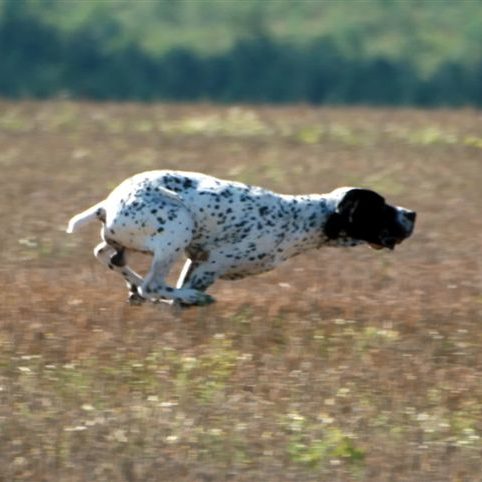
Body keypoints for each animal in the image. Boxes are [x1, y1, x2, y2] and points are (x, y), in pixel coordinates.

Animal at [66, 169, 416, 306]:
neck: (302, 218)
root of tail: (107, 204)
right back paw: (184, 297)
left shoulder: (197, 262)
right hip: (179, 225)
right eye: (381, 206)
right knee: (153, 284)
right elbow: (175, 298)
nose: (412, 213)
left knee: (108, 257)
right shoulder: (213, 265)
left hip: (130, 241)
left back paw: (136, 289)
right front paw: (186, 301)